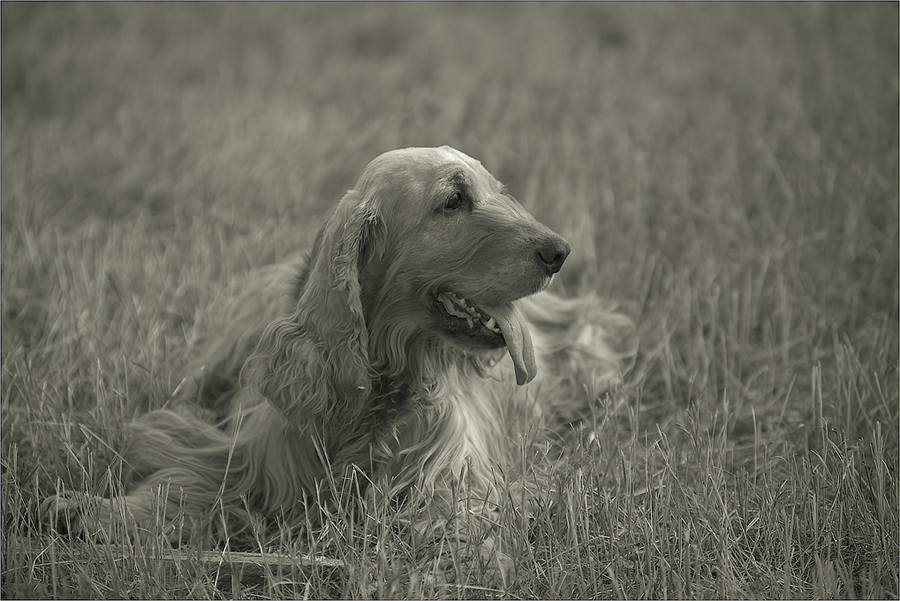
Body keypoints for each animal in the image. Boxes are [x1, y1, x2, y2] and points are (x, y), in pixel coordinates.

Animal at [44, 146, 640, 580]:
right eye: (452, 200)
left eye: (498, 192)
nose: (559, 252)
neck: (381, 393)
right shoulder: (245, 455)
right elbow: (188, 479)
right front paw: (94, 511)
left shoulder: (454, 480)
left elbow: (457, 524)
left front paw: (461, 563)